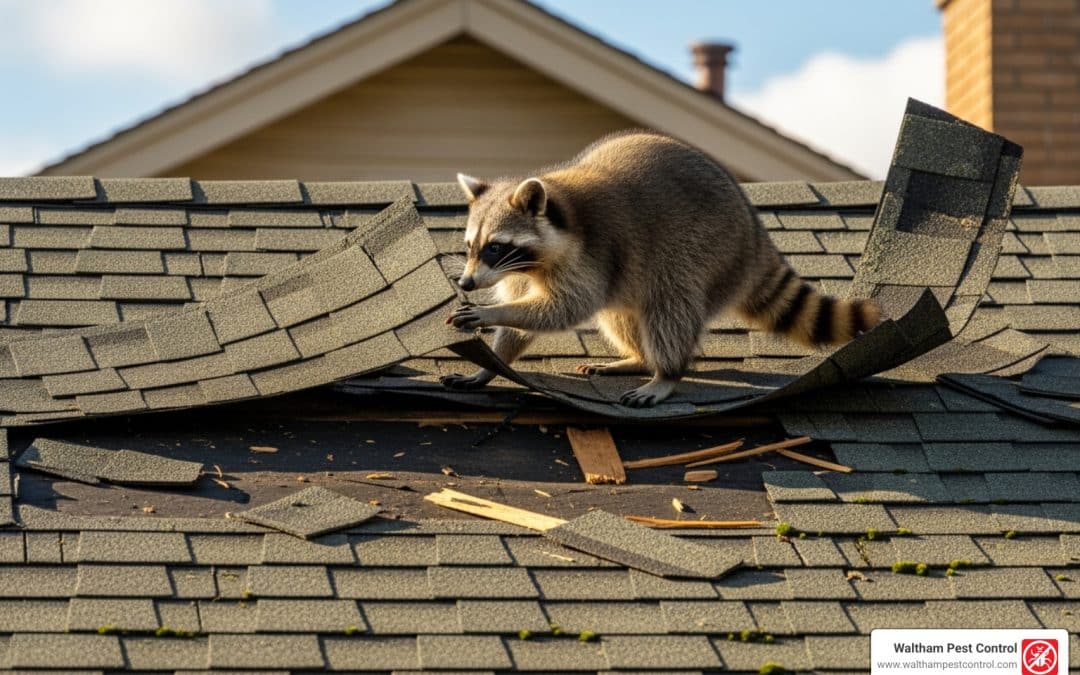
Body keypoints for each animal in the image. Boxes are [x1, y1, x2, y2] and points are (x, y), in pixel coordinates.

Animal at [442, 131, 881, 407]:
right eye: (469, 246)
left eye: (496, 247)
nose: (466, 281)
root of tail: (755, 234)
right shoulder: (522, 272)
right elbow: (526, 324)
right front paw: (491, 365)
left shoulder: (592, 253)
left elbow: (566, 307)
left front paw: (492, 312)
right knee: (622, 313)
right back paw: (637, 357)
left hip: (705, 248)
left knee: (670, 306)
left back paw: (666, 372)